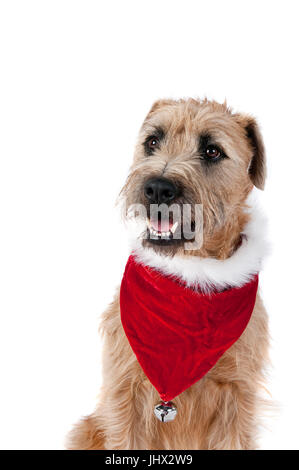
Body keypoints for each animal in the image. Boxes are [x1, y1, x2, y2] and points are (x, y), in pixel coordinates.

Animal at [67, 97, 270, 450]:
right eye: (152, 141)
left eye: (212, 151)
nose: (157, 188)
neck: (191, 283)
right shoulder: (126, 393)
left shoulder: (236, 396)